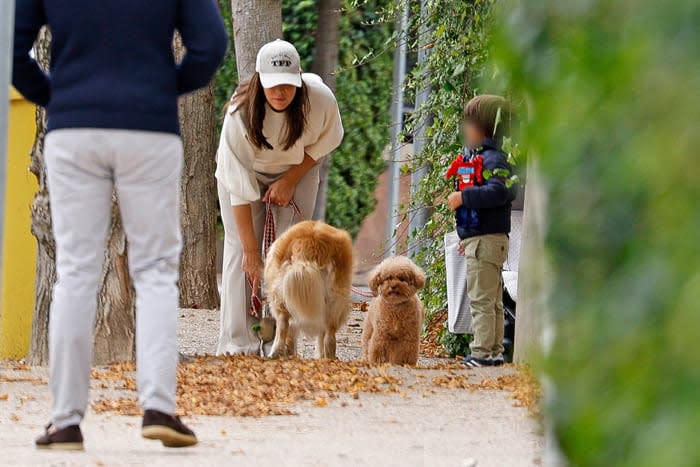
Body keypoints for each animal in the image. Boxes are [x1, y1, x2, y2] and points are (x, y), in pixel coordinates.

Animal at [266, 221, 358, 360]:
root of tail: (310, 241)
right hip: (334, 301)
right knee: (329, 333)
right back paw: (328, 357)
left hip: (280, 296)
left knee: (282, 325)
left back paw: (277, 353)